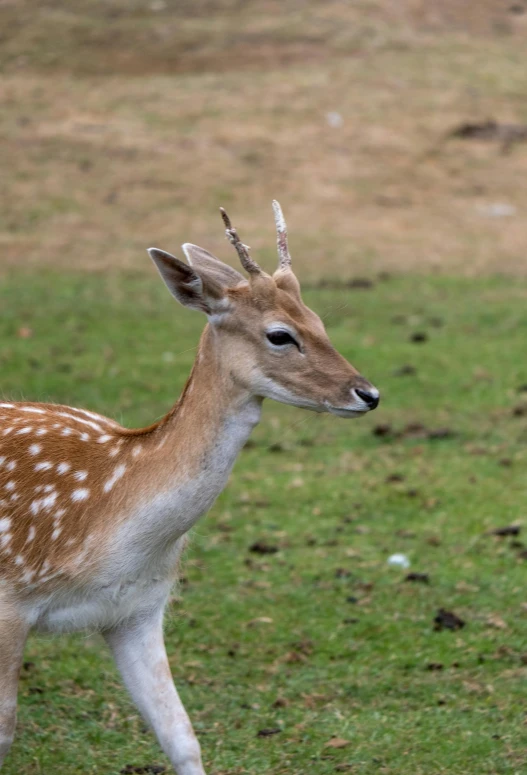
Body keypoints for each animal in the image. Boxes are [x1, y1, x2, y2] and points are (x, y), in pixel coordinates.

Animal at [0, 202, 380, 775]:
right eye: (280, 334)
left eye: (319, 321)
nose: (368, 393)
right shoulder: (10, 603)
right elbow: (5, 735)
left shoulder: (137, 609)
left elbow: (182, 736)